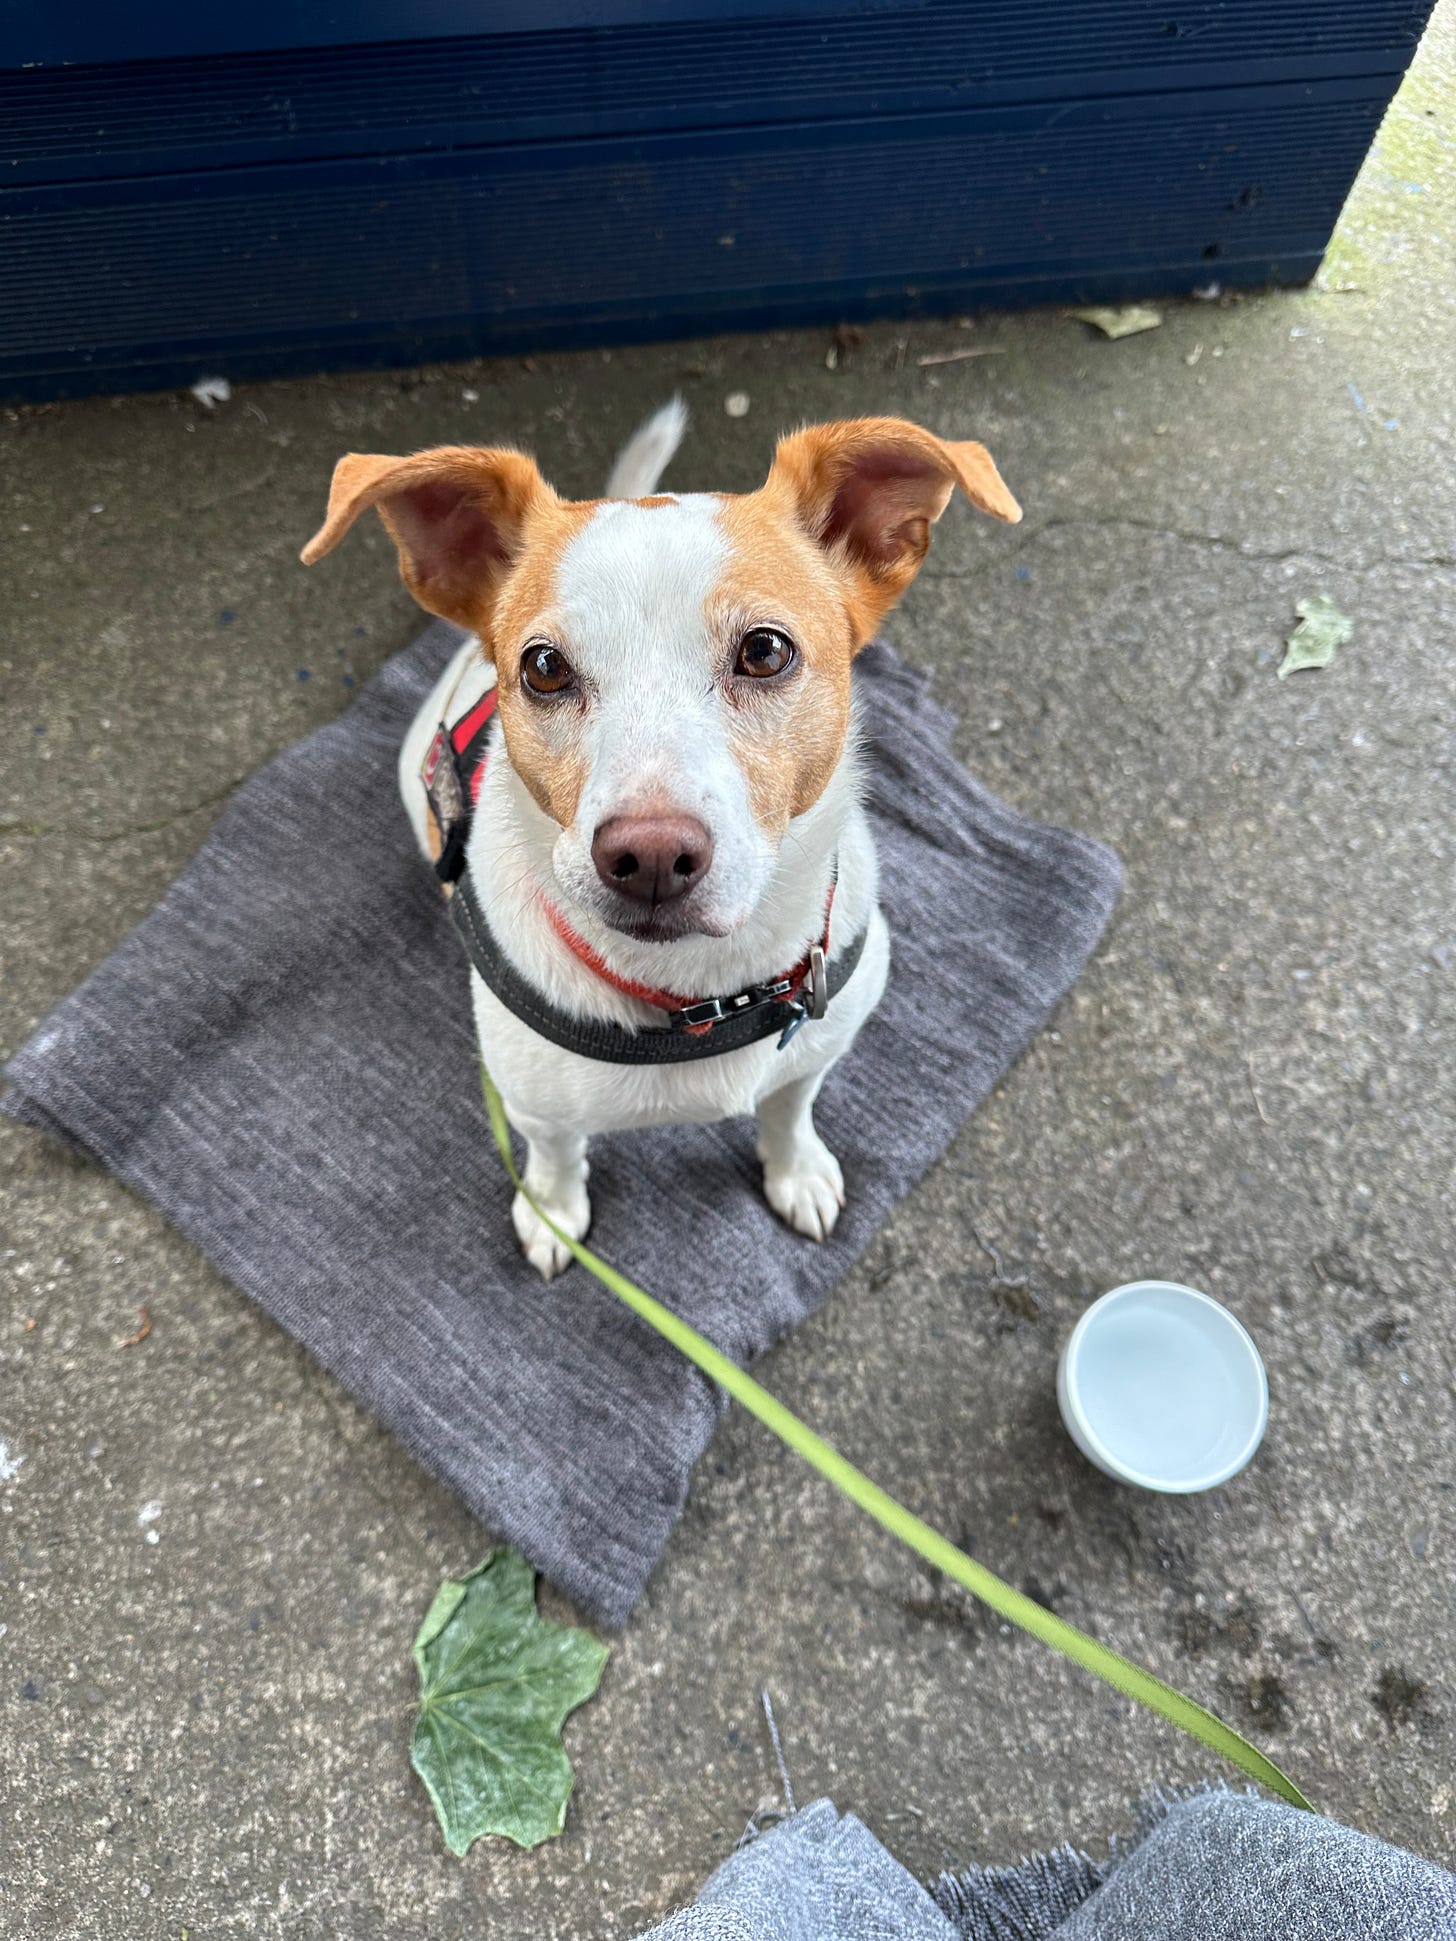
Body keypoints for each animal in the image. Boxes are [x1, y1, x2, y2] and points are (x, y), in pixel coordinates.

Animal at [302, 403, 1017, 1281]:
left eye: (765, 650)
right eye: (544, 667)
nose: (647, 858)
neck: (701, 995)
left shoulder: (813, 1051)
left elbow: (789, 1106)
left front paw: (797, 1169)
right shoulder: (537, 1109)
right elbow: (557, 1155)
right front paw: (554, 1210)